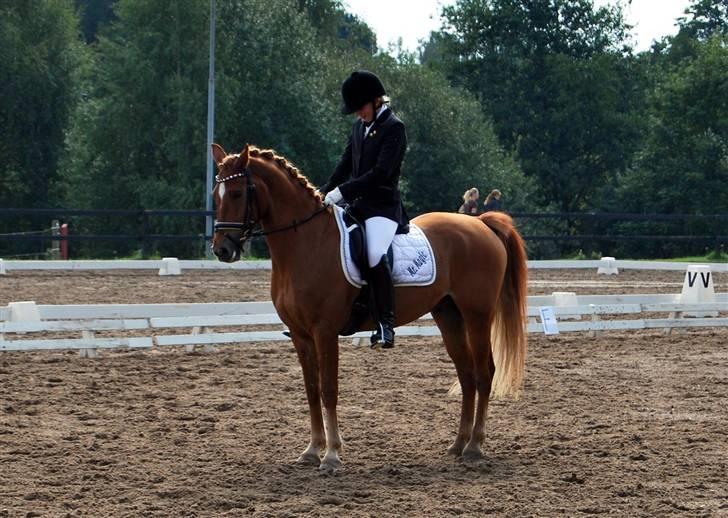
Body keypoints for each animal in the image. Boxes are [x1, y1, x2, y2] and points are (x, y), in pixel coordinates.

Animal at [210, 143, 528, 472]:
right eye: (215, 195)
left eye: (237, 193)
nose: (222, 249)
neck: (306, 243)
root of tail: (480, 223)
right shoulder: (300, 335)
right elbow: (311, 390)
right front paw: (312, 450)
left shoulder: (325, 332)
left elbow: (328, 390)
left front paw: (332, 455)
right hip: (448, 315)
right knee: (466, 374)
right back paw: (458, 444)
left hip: (477, 315)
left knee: (484, 373)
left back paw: (475, 446)